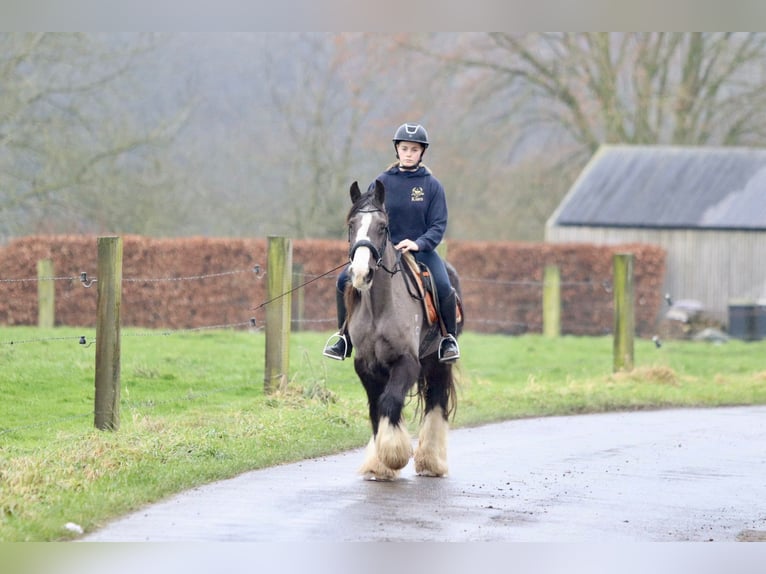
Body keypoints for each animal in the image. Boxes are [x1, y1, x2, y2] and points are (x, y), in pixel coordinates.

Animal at [346, 180, 464, 482]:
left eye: (383, 226)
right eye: (352, 224)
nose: (361, 273)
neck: (380, 308)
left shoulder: (407, 361)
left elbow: (390, 400)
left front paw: (393, 454)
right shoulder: (367, 365)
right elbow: (376, 408)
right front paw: (379, 464)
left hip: (437, 361)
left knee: (436, 399)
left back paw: (431, 461)